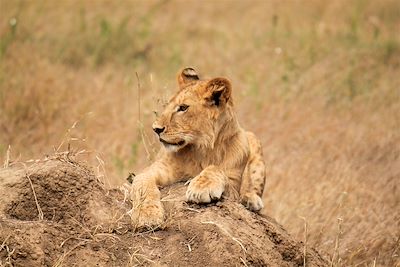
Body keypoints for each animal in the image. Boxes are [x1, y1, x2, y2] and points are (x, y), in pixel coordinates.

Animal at [130, 68, 266, 229]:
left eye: (183, 108)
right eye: (167, 106)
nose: (156, 129)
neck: (202, 150)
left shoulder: (233, 187)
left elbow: (216, 168)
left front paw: (200, 188)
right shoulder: (152, 171)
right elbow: (143, 186)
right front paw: (147, 215)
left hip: (253, 140)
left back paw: (251, 200)